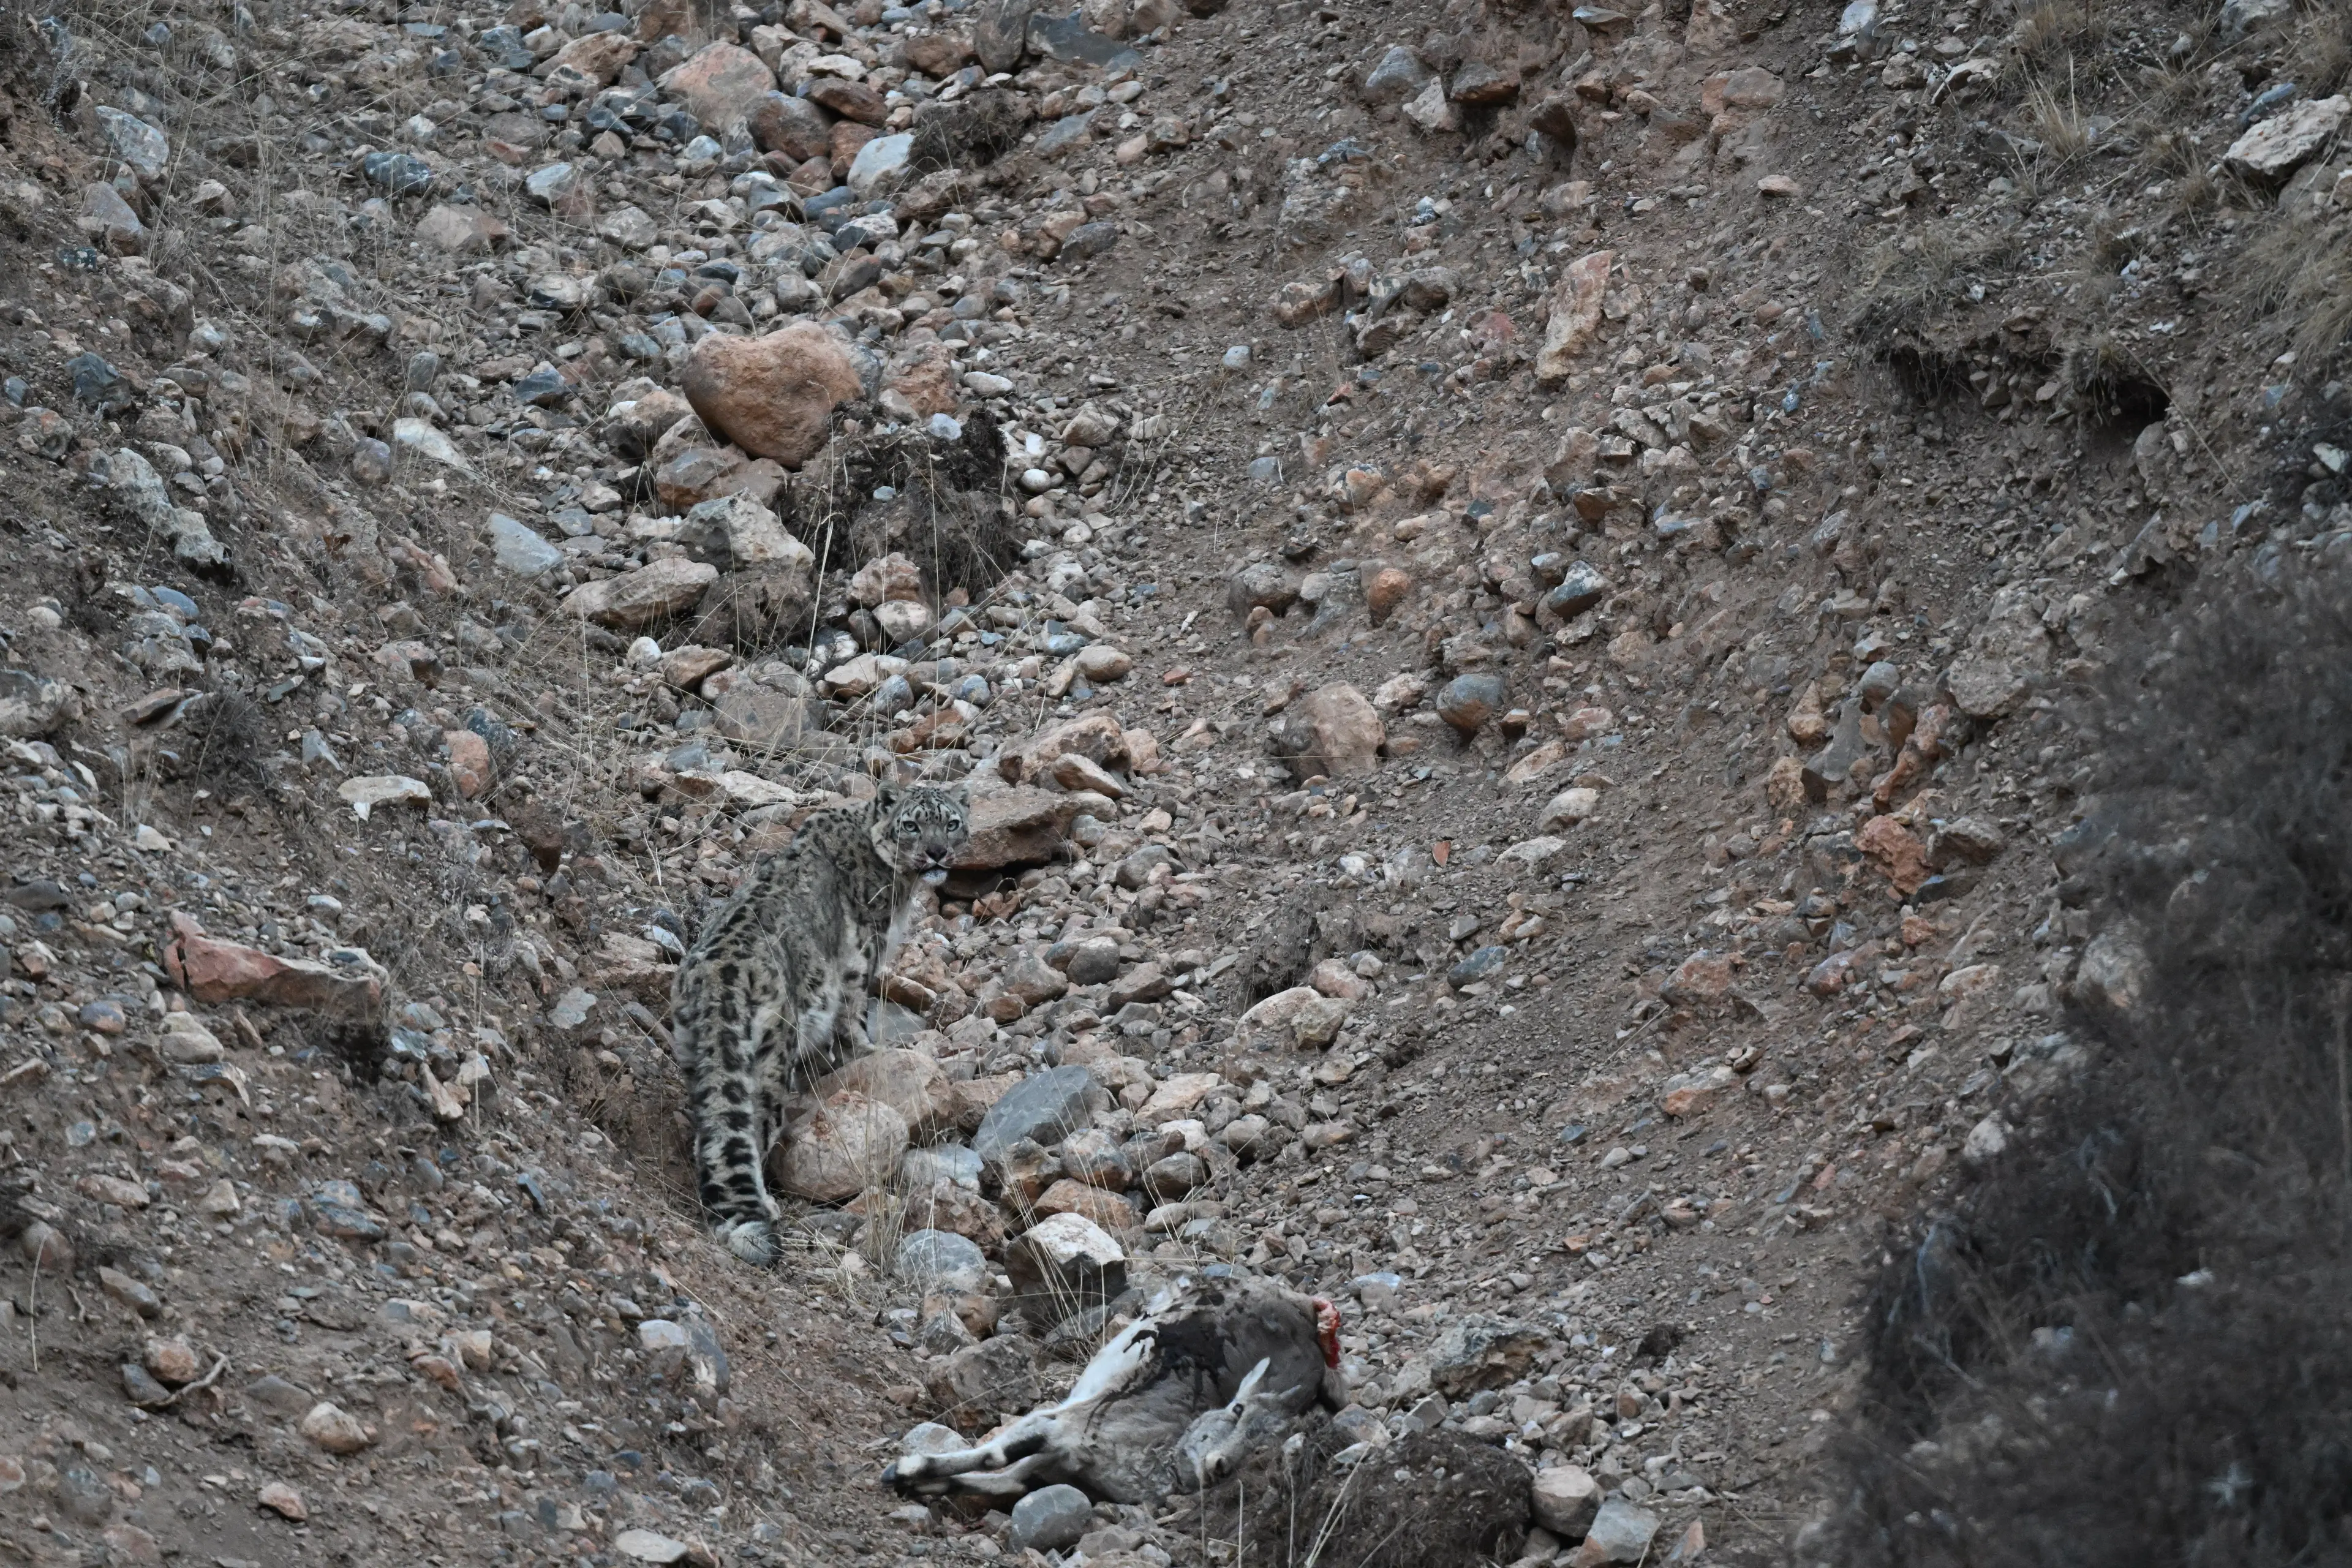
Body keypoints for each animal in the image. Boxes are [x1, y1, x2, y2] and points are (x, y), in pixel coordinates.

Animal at [672, 781, 969, 1265]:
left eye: (952, 822)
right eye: (911, 824)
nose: (937, 852)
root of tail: (716, 978)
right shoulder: (863, 954)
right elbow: (853, 1015)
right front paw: (867, 1051)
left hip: (694, 1050)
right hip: (772, 1056)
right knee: (756, 1123)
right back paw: (767, 1201)